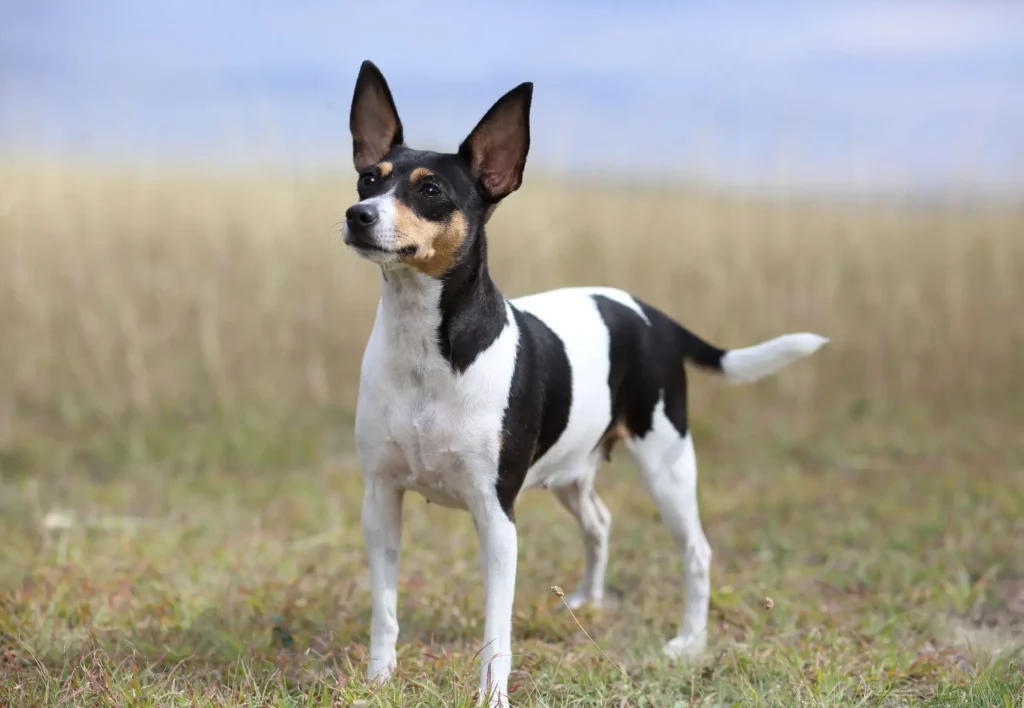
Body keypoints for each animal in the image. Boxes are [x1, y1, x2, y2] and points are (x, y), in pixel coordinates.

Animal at [339, 62, 827, 708]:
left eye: (431, 191)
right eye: (369, 178)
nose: (358, 214)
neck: (426, 349)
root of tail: (654, 316)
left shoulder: (497, 517)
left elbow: (497, 632)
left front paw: (493, 696)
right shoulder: (380, 499)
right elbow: (385, 609)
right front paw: (379, 678)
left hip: (667, 464)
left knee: (696, 551)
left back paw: (688, 641)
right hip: (573, 468)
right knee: (600, 522)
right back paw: (591, 601)